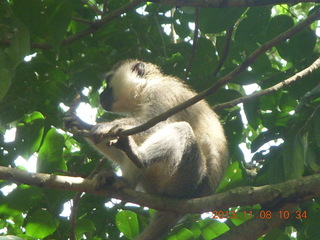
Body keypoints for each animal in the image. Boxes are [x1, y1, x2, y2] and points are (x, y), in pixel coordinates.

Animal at [66, 60, 229, 240]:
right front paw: (82, 125)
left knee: (181, 129)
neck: (145, 87)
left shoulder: (161, 91)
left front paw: (103, 126)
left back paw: (138, 158)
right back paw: (119, 178)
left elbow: (156, 124)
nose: (101, 94)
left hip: (188, 178)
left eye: (108, 83)